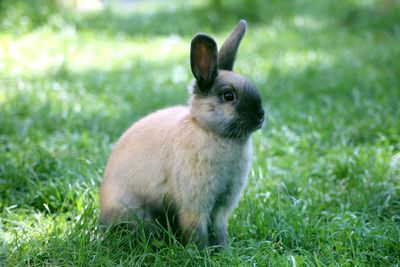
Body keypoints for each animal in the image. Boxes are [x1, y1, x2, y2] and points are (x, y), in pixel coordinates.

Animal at [99, 19, 264, 249]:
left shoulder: (222, 207)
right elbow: (197, 231)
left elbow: (219, 229)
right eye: (228, 96)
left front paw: (224, 250)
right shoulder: (195, 205)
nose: (261, 115)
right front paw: (201, 252)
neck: (209, 130)